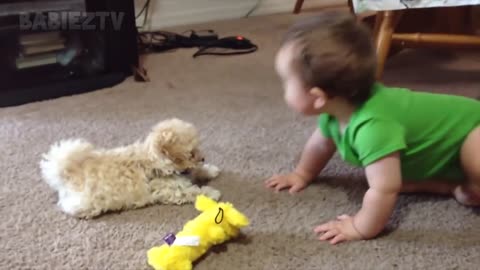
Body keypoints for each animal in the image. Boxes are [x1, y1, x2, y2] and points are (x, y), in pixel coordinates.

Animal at [39, 117, 221, 217]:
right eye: (191, 153)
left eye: (198, 148)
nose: (203, 158)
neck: (155, 160)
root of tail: (67, 172)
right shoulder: (171, 189)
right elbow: (193, 191)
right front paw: (212, 192)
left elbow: (196, 172)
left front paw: (210, 170)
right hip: (84, 203)